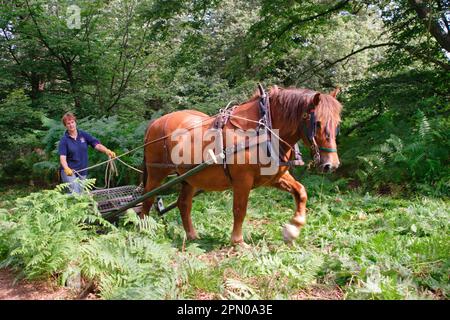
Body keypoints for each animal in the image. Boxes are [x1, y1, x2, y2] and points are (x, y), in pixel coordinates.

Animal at [141, 85, 342, 245]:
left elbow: (301, 192)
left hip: (189, 178)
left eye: (337, 124)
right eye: (317, 123)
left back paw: (191, 235)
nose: (331, 165)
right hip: (156, 173)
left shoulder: (274, 177)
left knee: (183, 204)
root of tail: (155, 123)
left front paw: (293, 229)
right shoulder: (242, 180)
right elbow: (240, 209)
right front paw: (237, 241)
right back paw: (143, 229)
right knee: (147, 198)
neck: (264, 129)